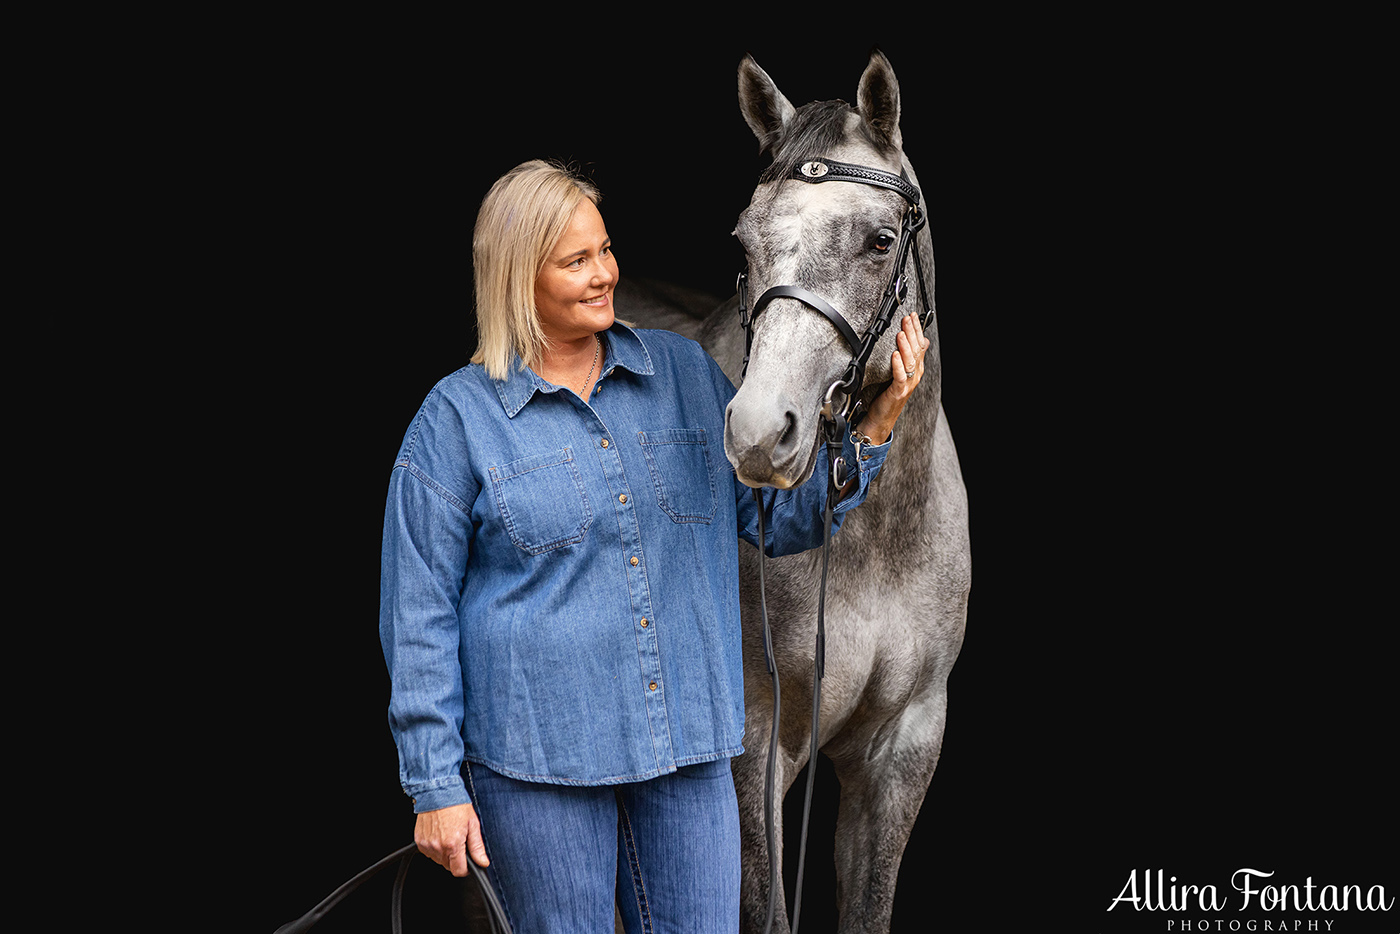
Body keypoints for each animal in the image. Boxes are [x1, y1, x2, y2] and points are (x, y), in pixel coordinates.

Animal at [624, 49, 974, 934]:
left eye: (880, 241)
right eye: (744, 244)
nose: (757, 431)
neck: (868, 538)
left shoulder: (902, 745)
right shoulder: (756, 743)